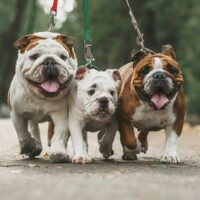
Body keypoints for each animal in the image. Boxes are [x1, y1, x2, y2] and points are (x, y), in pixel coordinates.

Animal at [8, 31, 77, 162]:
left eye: (63, 57)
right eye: (34, 56)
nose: (50, 61)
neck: (40, 97)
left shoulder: (61, 114)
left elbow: (60, 133)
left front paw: (58, 152)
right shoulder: (17, 114)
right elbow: (22, 133)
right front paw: (28, 146)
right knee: (33, 128)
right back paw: (36, 146)